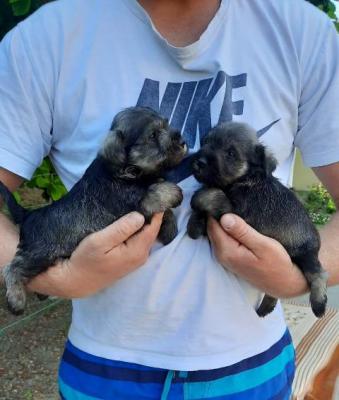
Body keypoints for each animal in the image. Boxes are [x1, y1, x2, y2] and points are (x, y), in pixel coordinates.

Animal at [0, 107, 187, 316]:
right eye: (153, 135)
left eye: (167, 124)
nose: (182, 141)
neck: (127, 171)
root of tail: (28, 215)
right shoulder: (136, 202)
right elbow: (159, 190)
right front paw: (175, 194)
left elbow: (165, 208)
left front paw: (169, 230)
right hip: (39, 254)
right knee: (12, 267)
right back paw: (16, 300)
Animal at [187, 122, 328, 318]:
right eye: (205, 142)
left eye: (231, 153)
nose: (199, 162)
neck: (246, 177)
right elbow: (207, 199)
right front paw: (195, 225)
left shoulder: (235, 211)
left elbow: (209, 194)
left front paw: (196, 200)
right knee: (275, 289)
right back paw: (265, 308)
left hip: (306, 256)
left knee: (318, 274)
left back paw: (319, 303)